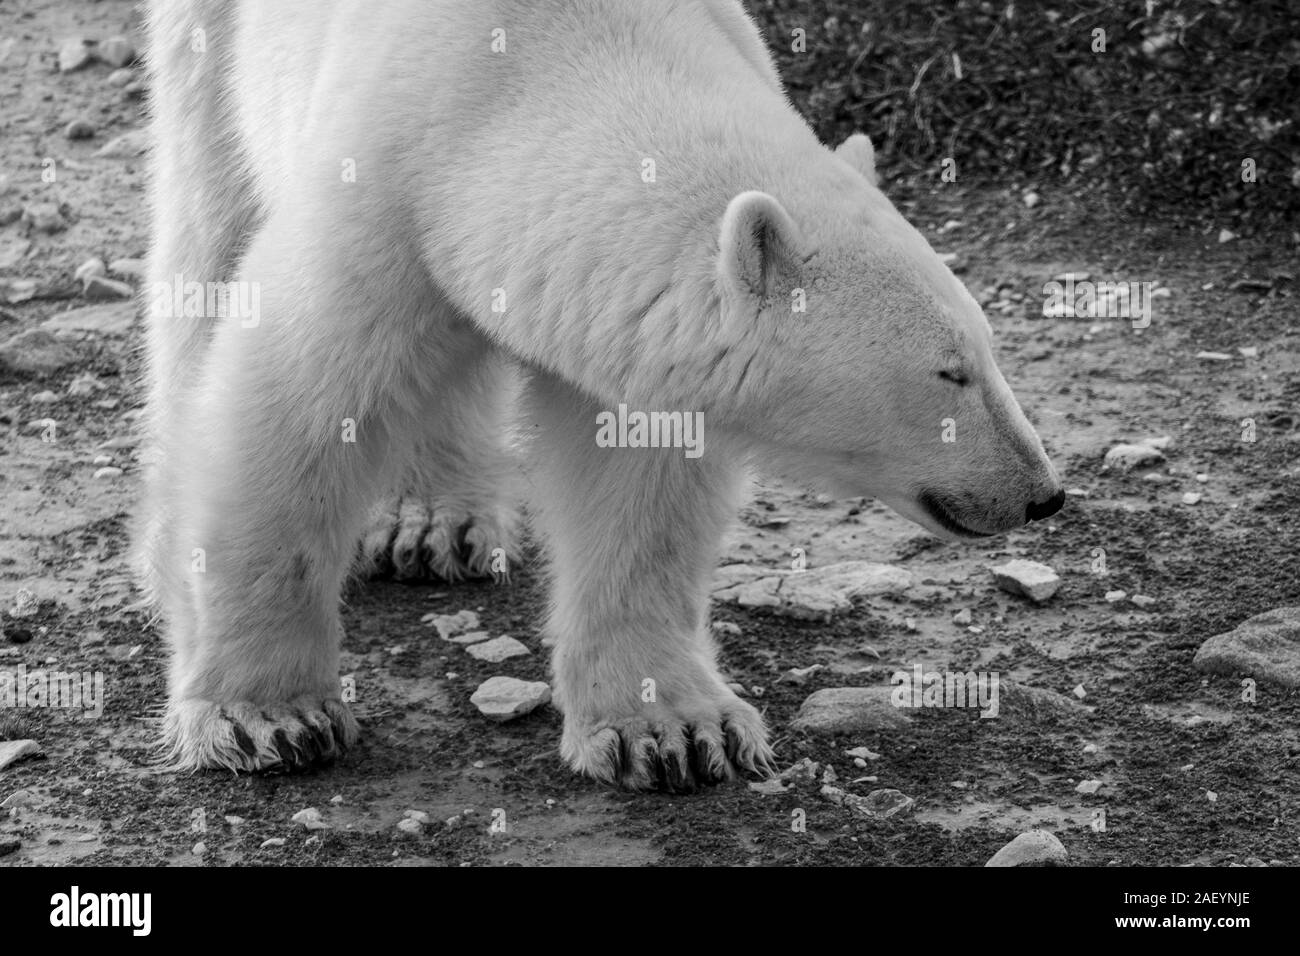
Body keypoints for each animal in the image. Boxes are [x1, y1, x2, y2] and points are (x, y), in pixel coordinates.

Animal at [137, 0, 1060, 790]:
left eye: (990, 346)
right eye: (950, 371)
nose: (1042, 492)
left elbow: (636, 489)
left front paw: (675, 732)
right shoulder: (380, 191)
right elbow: (292, 408)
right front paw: (265, 716)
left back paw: (433, 522)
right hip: (208, 47)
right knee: (206, 221)